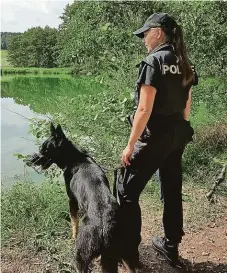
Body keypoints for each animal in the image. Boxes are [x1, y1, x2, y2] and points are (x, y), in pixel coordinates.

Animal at [25, 122, 134, 272]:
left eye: (44, 149)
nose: (30, 160)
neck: (75, 158)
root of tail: (106, 226)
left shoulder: (72, 200)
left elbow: (74, 222)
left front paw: (73, 237)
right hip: (124, 252)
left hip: (81, 257)